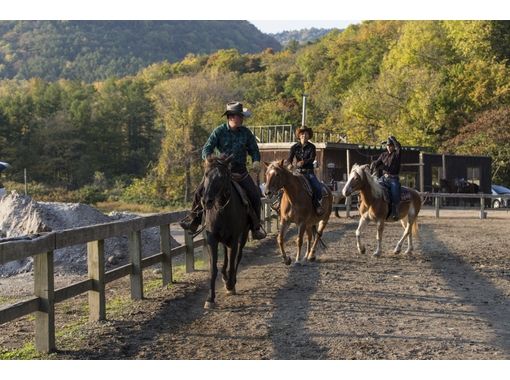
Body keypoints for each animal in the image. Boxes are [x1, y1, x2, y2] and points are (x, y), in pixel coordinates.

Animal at [203, 156, 251, 308]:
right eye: (206, 174)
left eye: (222, 177)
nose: (207, 201)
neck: (221, 210)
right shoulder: (212, 240)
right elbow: (213, 269)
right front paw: (210, 298)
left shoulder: (234, 239)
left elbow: (232, 262)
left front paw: (230, 285)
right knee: (225, 255)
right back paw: (225, 277)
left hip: (243, 235)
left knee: (237, 258)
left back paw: (231, 281)